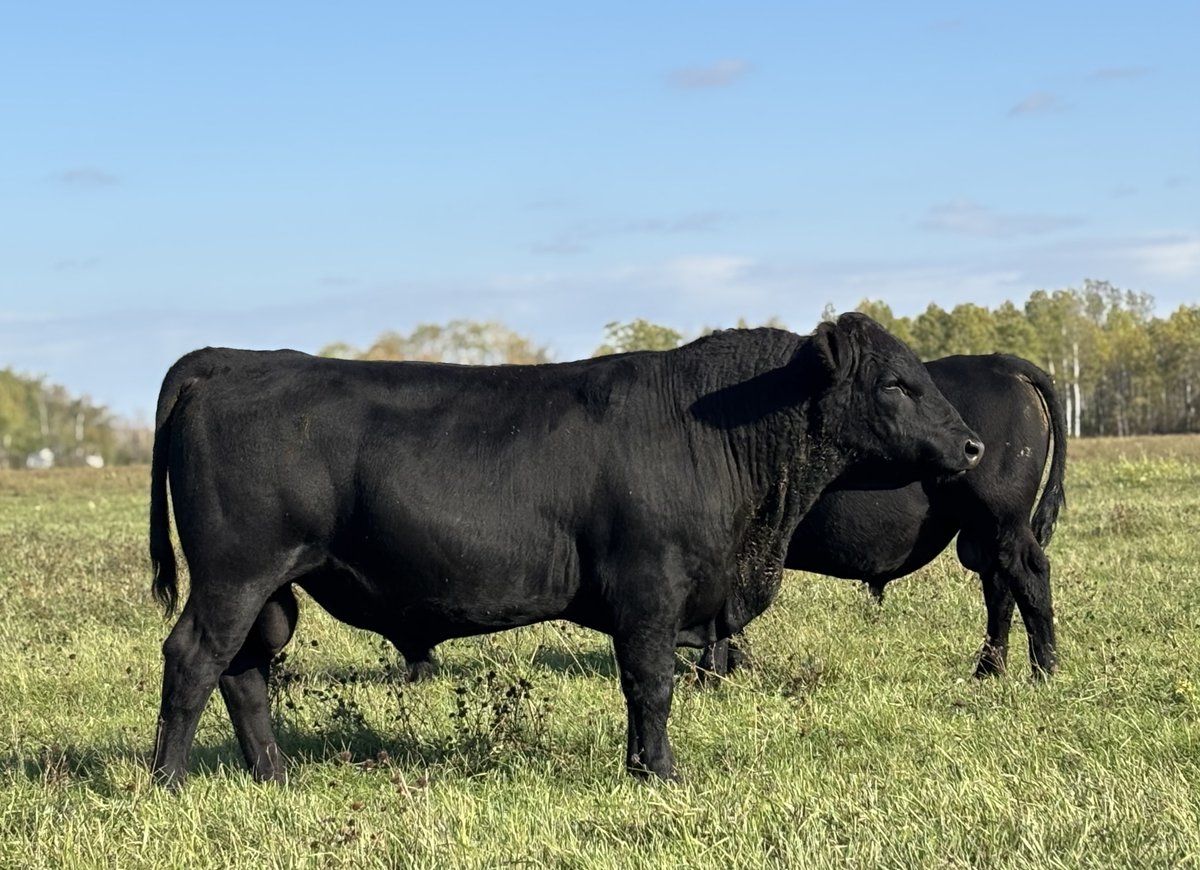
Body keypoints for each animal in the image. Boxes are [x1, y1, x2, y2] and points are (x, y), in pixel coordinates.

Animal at [148, 313, 983, 785]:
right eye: (896, 383)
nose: (973, 445)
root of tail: (229, 358)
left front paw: (643, 768)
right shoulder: (651, 591)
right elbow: (651, 686)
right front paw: (660, 776)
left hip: (271, 586)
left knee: (243, 671)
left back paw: (274, 775)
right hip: (235, 572)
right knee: (194, 658)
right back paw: (167, 781)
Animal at [696, 352, 1064, 681]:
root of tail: (1001, 362)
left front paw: (708, 676)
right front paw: (731, 668)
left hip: (1002, 518)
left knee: (1029, 575)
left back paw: (1043, 672)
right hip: (986, 530)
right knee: (1000, 586)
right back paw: (988, 672)